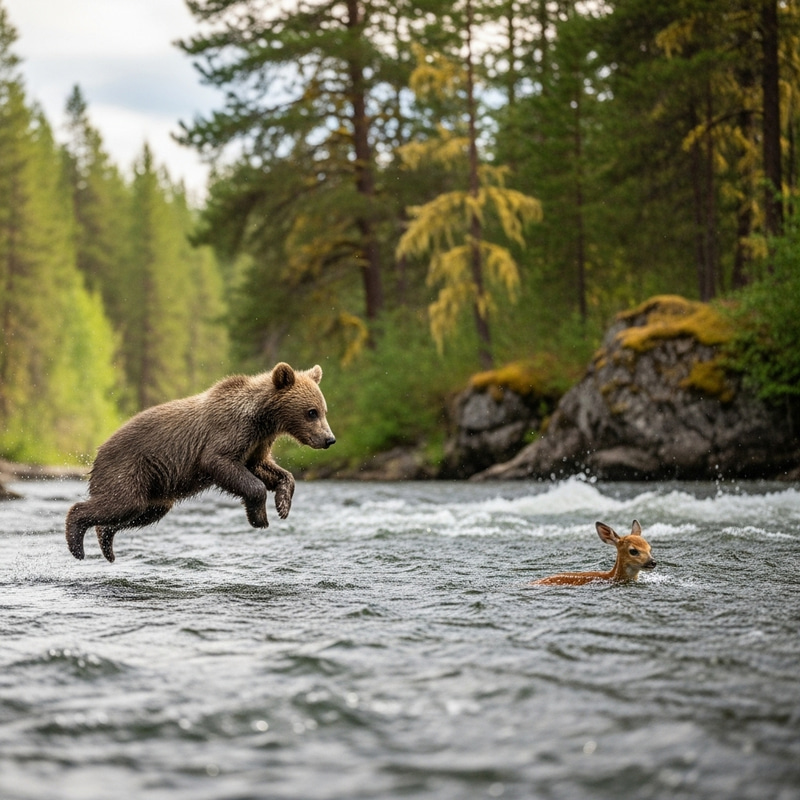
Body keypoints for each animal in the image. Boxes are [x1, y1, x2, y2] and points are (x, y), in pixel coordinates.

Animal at [65, 362, 335, 562]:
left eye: (324, 411)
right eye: (311, 412)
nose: (329, 439)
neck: (261, 417)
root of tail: (98, 453)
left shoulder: (256, 444)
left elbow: (268, 469)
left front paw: (283, 504)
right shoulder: (227, 433)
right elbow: (221, 462)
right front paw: (259, 516)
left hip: (155, 492)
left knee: (139, 513)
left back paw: (106, 543)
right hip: (127, 469)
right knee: (117, 504)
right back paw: (76, 544)